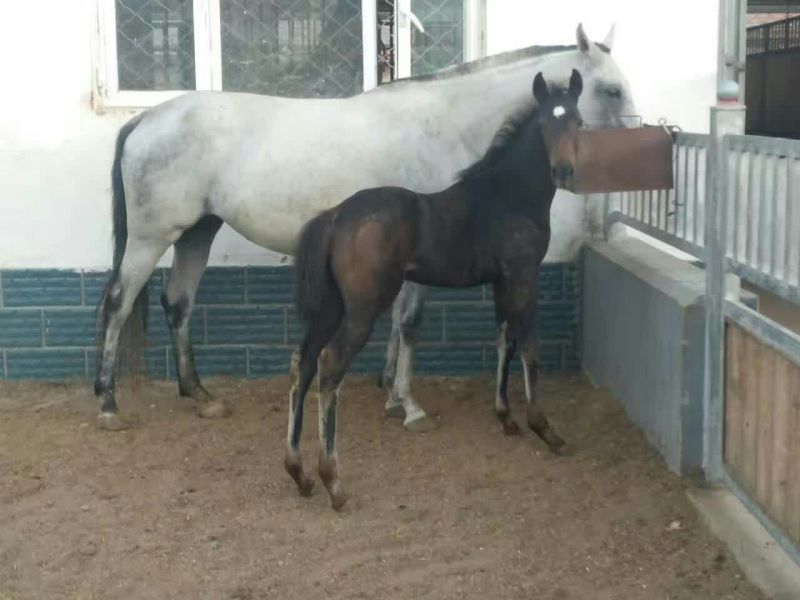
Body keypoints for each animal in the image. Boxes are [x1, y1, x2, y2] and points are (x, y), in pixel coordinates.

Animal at [94, 24, 634, 432]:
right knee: (119, 301)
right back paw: (108, 403)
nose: (638, 150)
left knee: (178, 302)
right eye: (611, 90)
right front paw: (409, 405)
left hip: (196, 232)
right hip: (151, 236)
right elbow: (410, 321)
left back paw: (199, 393)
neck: (445, 125)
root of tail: (147, 118)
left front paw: (391, 392)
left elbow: (398, 322)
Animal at [288, 69, 584, 510]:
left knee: (303, 360)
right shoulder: (523, 276)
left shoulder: (501, 282)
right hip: (361, 309)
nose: (564, 171)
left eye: (578, 122)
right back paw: (333, 482)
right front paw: (545, 429)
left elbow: (504, 341)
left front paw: (506, 417)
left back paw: (299, 473)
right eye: (546, 124)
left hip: (331, 306)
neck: (508, 196)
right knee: (330, 364)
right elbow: (530, 348)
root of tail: (336, 215)